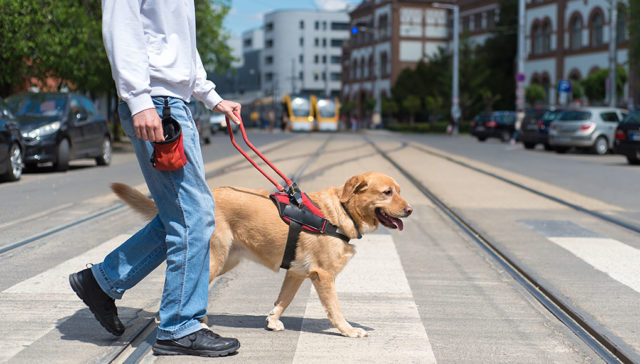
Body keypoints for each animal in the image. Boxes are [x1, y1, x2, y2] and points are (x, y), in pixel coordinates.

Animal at [112, 172, 412, 336]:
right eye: (387, 192)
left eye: (400, 191)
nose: (410, 210)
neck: (342, 211)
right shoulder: (324, 276)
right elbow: (335, 310)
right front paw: (348, 330)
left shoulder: (296, 273)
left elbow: (283, 300)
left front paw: (272, 321)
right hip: (214, 259)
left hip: (226, 261)